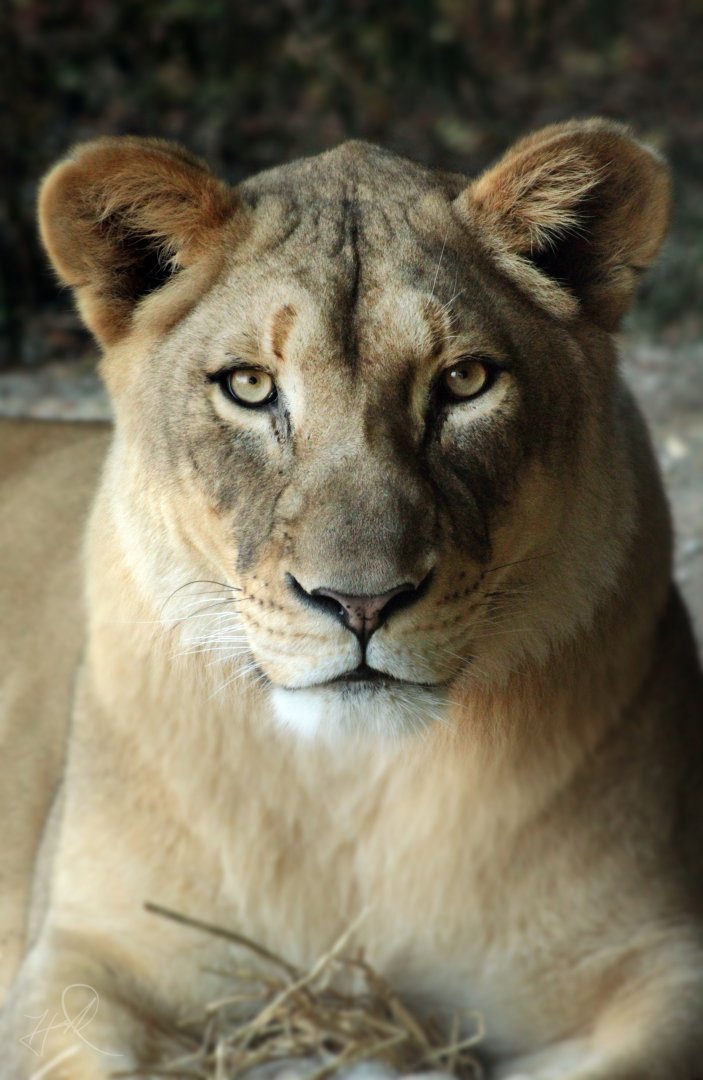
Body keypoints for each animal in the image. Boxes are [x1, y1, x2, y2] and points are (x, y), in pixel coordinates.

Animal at [1, 119, 702, 1080]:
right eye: (250, 387)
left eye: (464, 382)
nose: (361, 603)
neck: (349, 793)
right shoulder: (84, 953)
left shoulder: (657, 957)